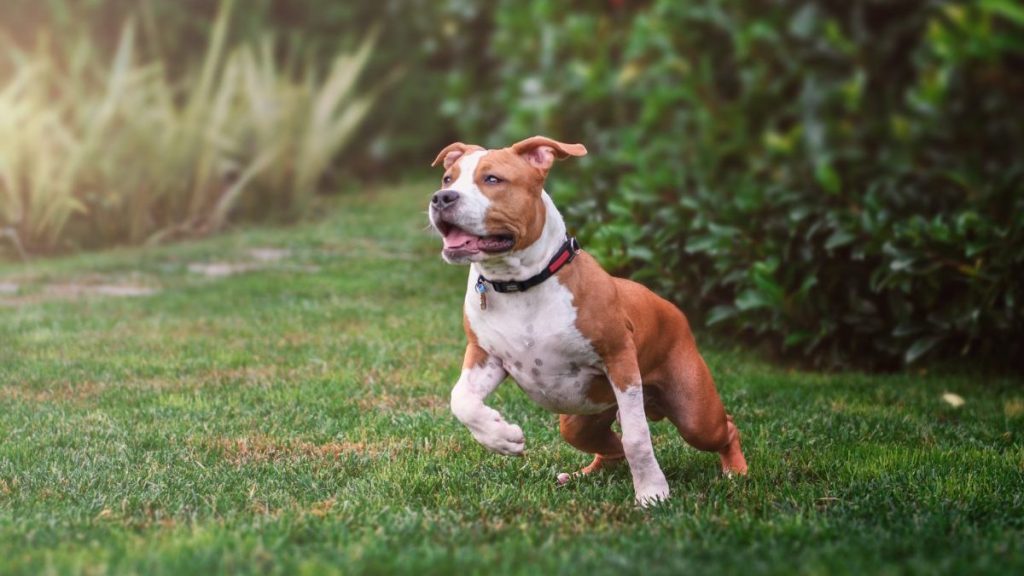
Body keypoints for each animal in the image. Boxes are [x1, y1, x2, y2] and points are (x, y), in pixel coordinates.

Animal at [428, 134, 749, 502]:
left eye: (493, 179)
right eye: (447, 179)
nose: (441, 198)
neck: (521, 284)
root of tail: (672, 308)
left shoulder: (619, 359)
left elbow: (637, 438)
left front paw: (652, 493)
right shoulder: (485, 356)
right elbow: (461, 400)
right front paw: (502, 438)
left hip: (694, 413)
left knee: (723, 428)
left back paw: (736, 471)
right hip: (579, 422)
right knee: (610, 447)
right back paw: (583, 475)